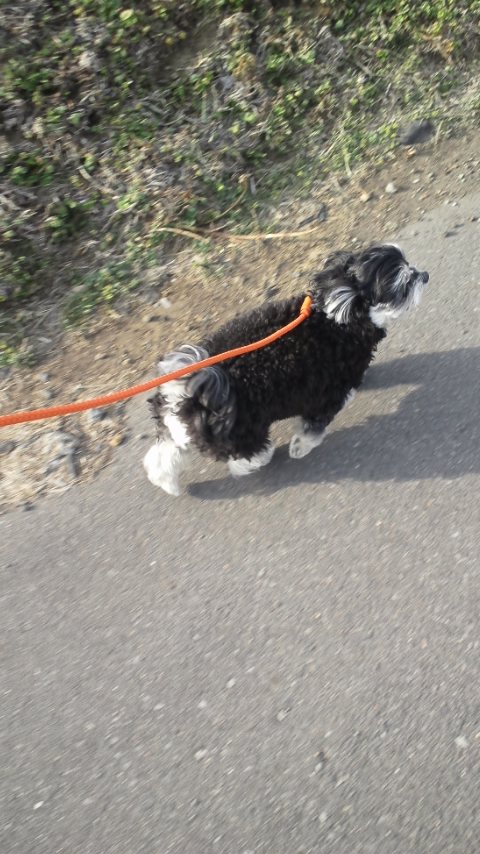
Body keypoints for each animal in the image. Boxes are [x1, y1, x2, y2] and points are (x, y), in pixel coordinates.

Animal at [143, 243, 428, 495]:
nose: (424, 275)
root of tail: (187, 392)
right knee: (244, 459)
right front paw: (300, 447)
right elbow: (313, 429)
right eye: (405, 284)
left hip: (176, 431)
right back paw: (262, 458)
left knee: (163, 459)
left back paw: (169, 485)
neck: (334, 320)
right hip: (243, 433)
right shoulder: (325, 397)